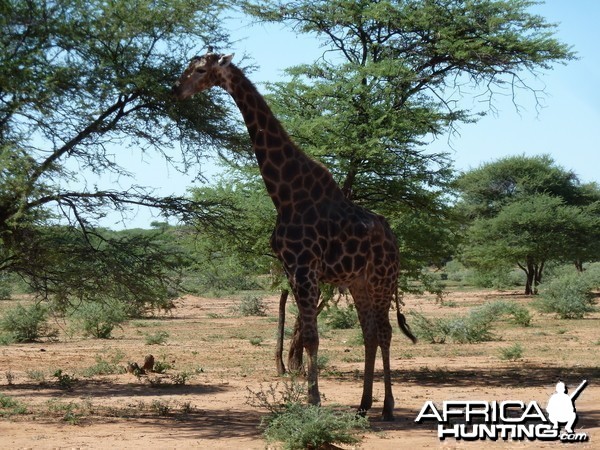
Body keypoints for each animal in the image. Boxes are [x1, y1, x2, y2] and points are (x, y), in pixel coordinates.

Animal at [175, 51, 418, 420]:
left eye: (201, 69)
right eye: (188, 68)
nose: (176, 90)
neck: (285, 193)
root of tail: (395, 241)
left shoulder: (305, 268)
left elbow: (312, 338)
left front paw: (313, 401)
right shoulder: (291, 270)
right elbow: (305, 336)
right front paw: (309, 399)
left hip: (382, 278)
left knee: (386, 332)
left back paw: (388, 408)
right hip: (360, 281)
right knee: (370, 333)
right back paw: (363, 406)